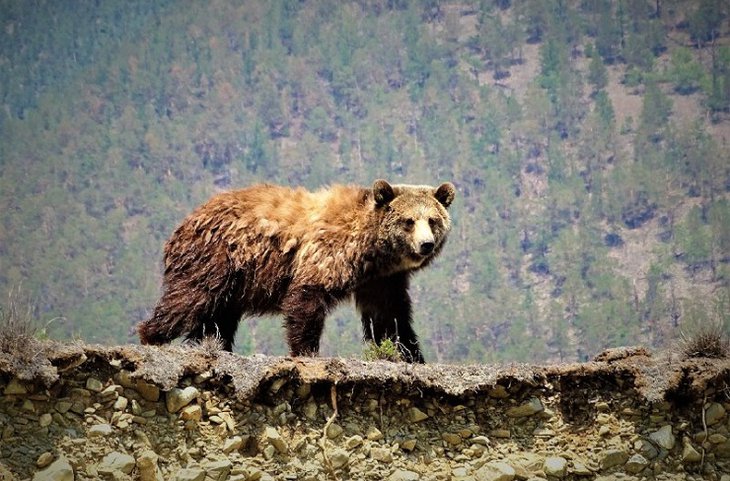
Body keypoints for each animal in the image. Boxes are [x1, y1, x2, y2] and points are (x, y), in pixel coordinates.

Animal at [137, 178, 452, 362]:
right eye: (408, 221)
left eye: (433, 220)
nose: (426, 244)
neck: (371, 250)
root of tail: (186, 222)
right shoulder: (326, 255)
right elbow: (307, 299)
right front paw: (306, 351)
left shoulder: (382, 280)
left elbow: (390, 316)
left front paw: (411, 355)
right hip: (216, 259)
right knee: (189, 299)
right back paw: (151, 336)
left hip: (233, 280)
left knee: (218, 317)